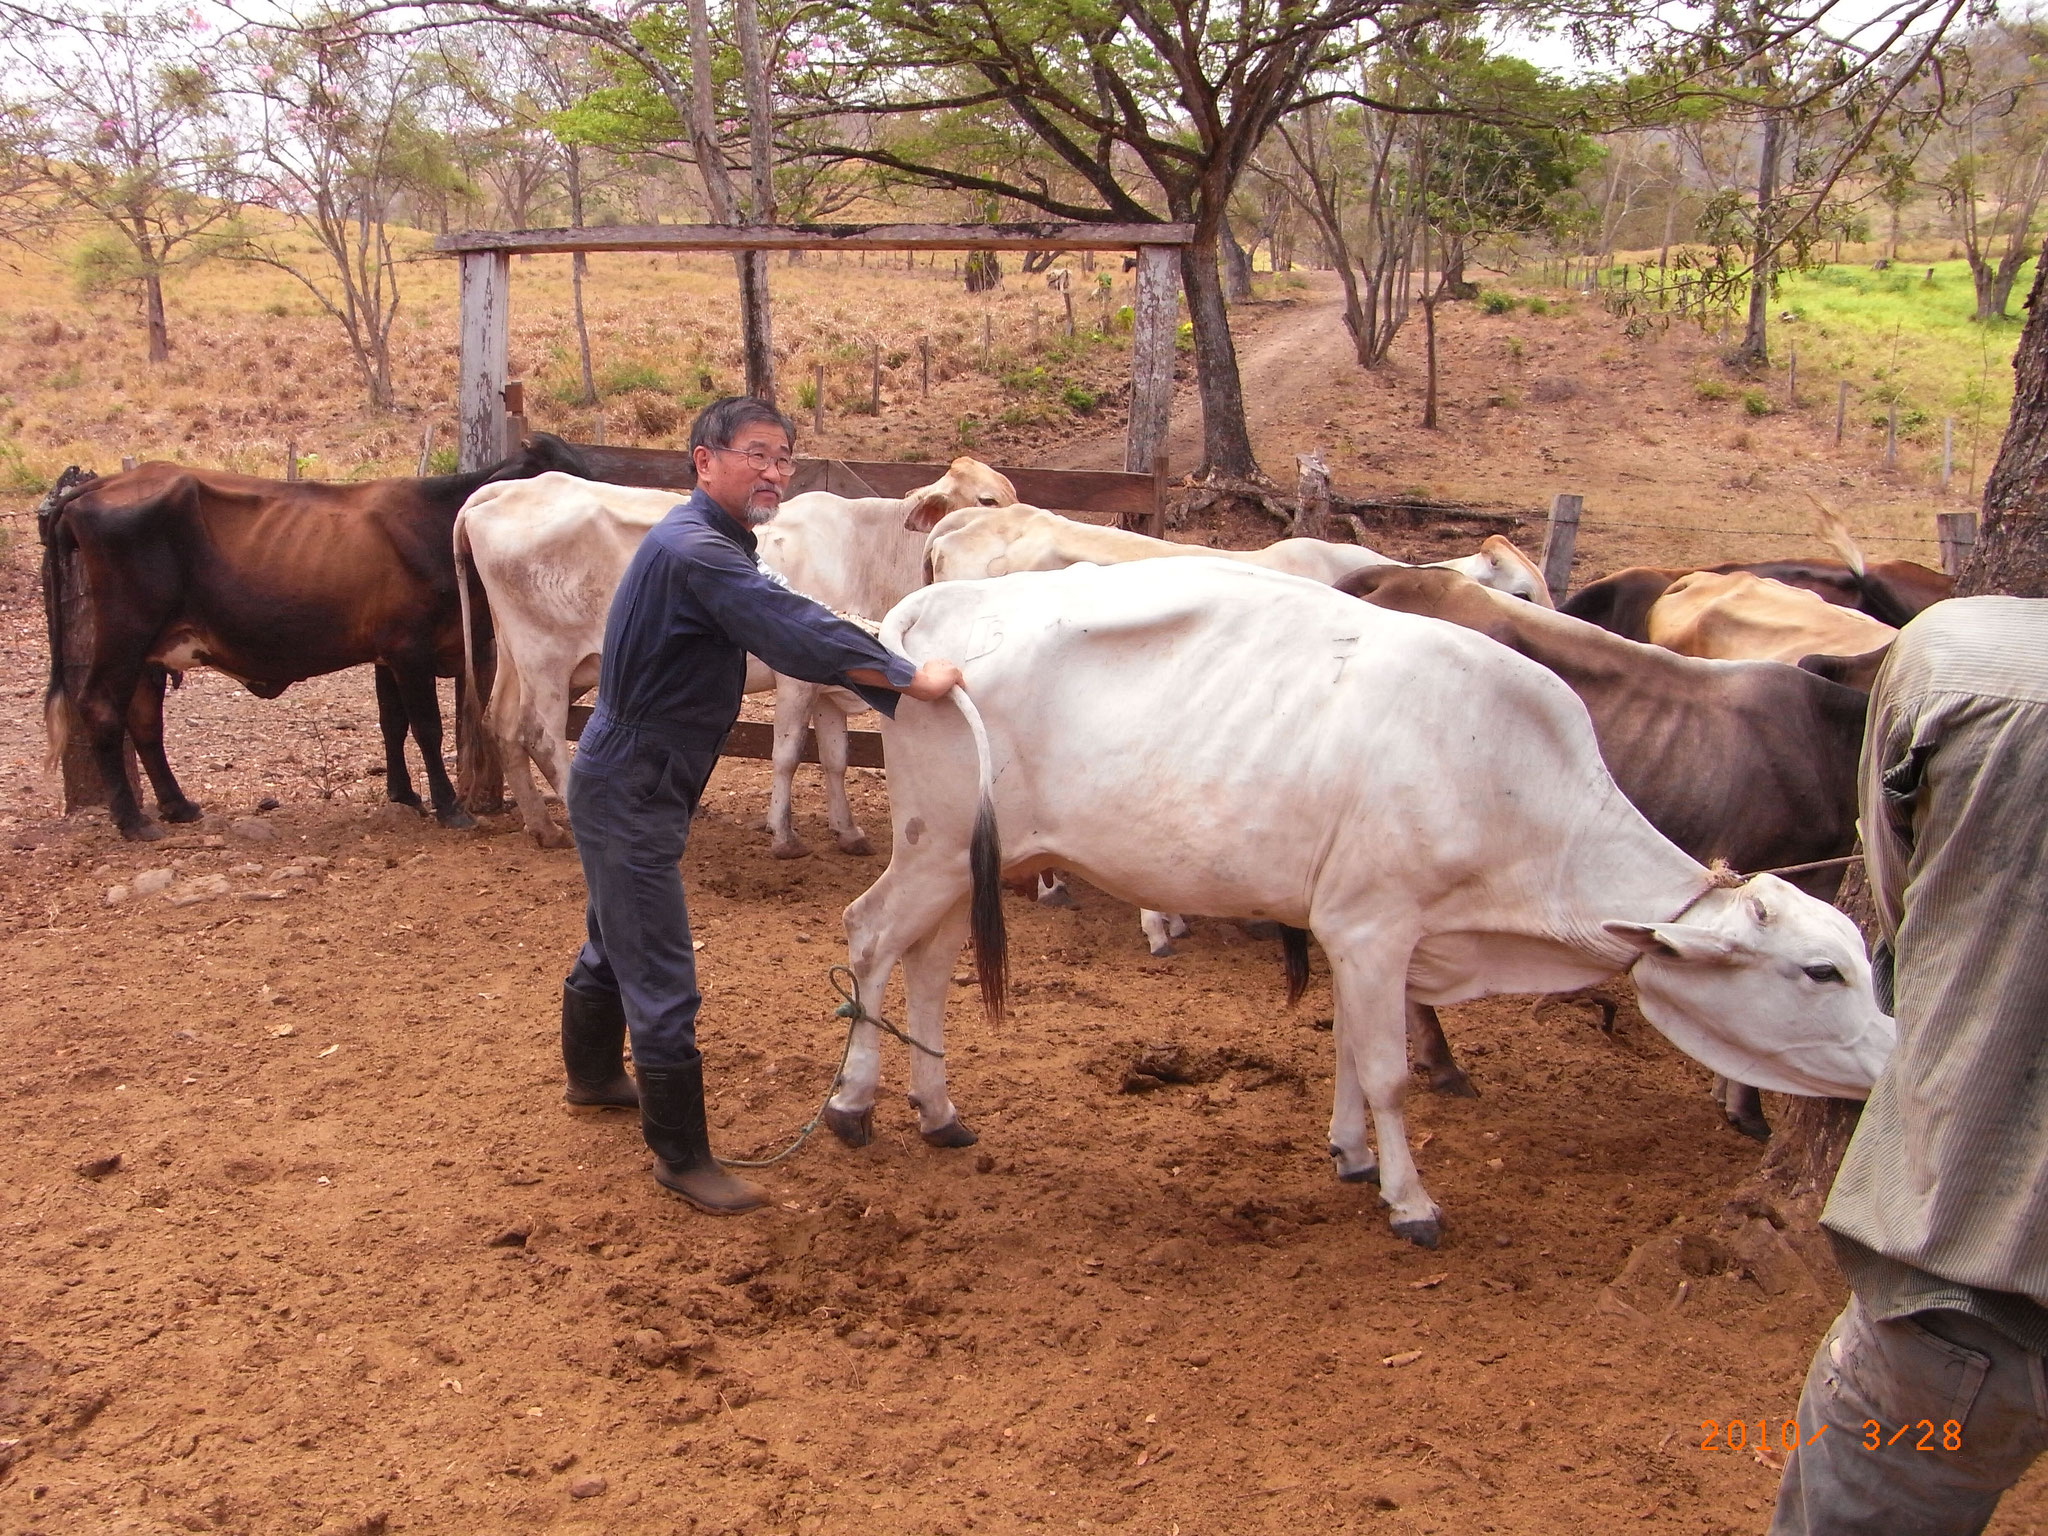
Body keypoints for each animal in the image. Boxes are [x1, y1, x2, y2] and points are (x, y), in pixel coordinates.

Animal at [39, 436, 589, 843]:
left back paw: (177, 805)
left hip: (152, 651)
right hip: (125, 632)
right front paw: (449, 805)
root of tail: (101, 486)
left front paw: (404, 795)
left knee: (145, 721)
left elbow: (392, 724)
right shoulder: (410, 649)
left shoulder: (385, 654)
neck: (439, 523)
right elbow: (426, 728)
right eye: (555, 473)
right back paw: (133, 820)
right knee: (103, 708)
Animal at [456, 462, 1015, 860]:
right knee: (543, 736)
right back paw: (572, 819)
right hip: (547, 660)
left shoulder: (829, 688)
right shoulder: (796, 678)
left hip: (516, 659)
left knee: (503, 725)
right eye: (985, 500)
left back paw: (543, 827)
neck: (867, 547)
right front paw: (783, 837)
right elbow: (788, 754)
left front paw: (849, 832)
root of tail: (504, 491)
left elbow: (835, 758)